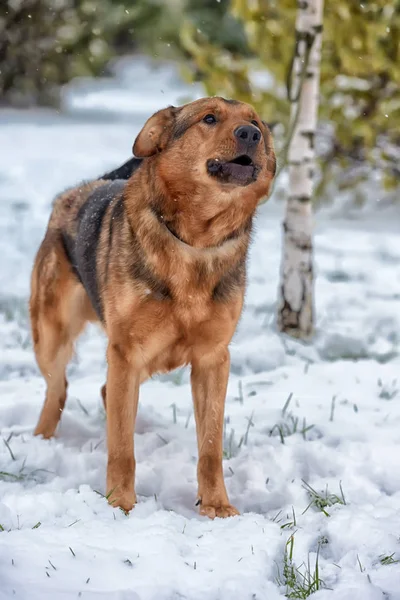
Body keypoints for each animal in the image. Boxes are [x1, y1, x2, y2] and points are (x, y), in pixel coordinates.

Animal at [30, 96, 276, 516]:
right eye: (209, 118)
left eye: (256, 122)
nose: (251, 135)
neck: (196, 241)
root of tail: (81, 188)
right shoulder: (126, 351)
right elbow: (121, 449)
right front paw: (121, 505)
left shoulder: (212, 358)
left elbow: (210, 448)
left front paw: (216, 507)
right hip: (54, 335)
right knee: (58, 388)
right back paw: (40, 441)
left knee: (103, 392)